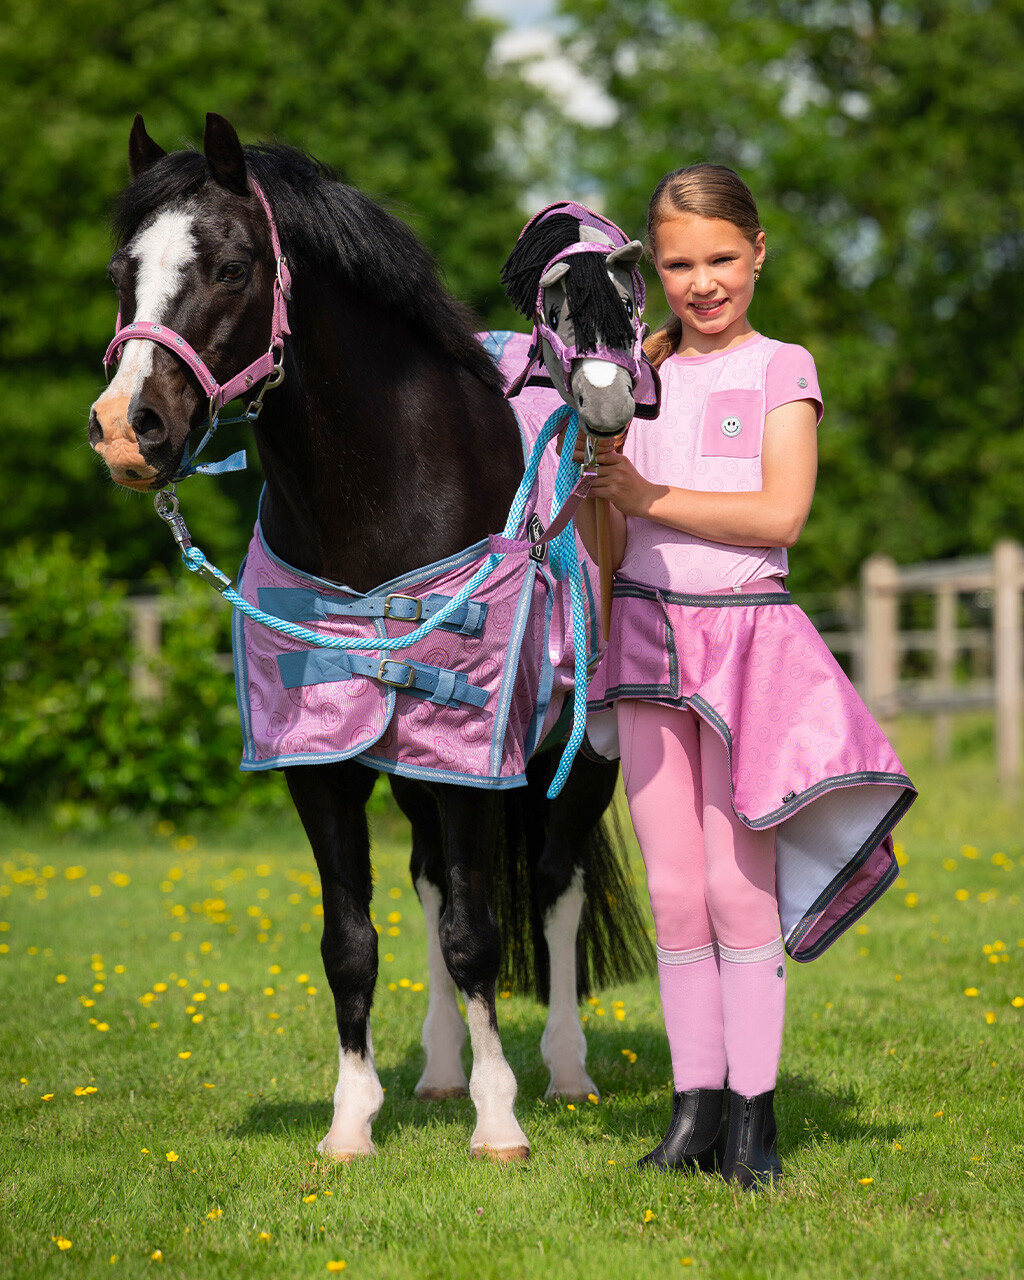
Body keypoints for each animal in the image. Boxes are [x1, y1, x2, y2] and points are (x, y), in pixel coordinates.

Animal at [88, 113, 654, 1162]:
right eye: (121, 270)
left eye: (231, 267)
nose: (124, 429)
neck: (382, 495)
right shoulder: (323, 762)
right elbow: (351, 940)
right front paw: (352, 1120)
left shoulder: (474, 757)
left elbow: (481, 933)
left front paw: (500, 1122)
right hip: (412, 767)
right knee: (431, 884)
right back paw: (438, 1071)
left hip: (579, 756)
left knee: (553, 889)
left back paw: (564, 1072)